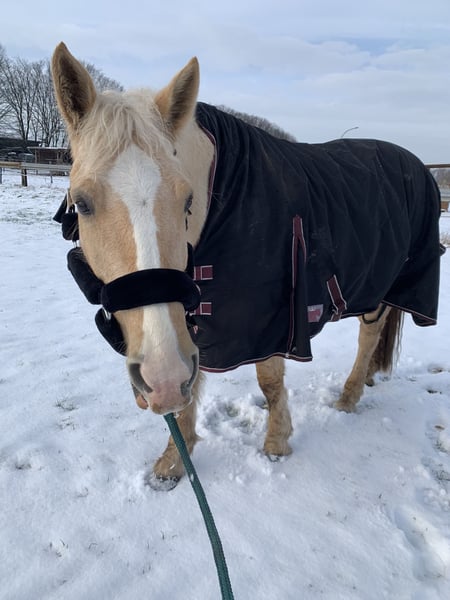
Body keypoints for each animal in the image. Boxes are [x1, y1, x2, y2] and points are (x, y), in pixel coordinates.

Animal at [51, 42, 443, 486]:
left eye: (187, 201)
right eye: (82, 203)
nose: (160, 378)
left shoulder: (274, 318)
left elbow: (268, 381)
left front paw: (276, 443)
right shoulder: (193, 314)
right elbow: (191, 387)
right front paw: (174, 462)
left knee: (368, 336)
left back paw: (349, 396)